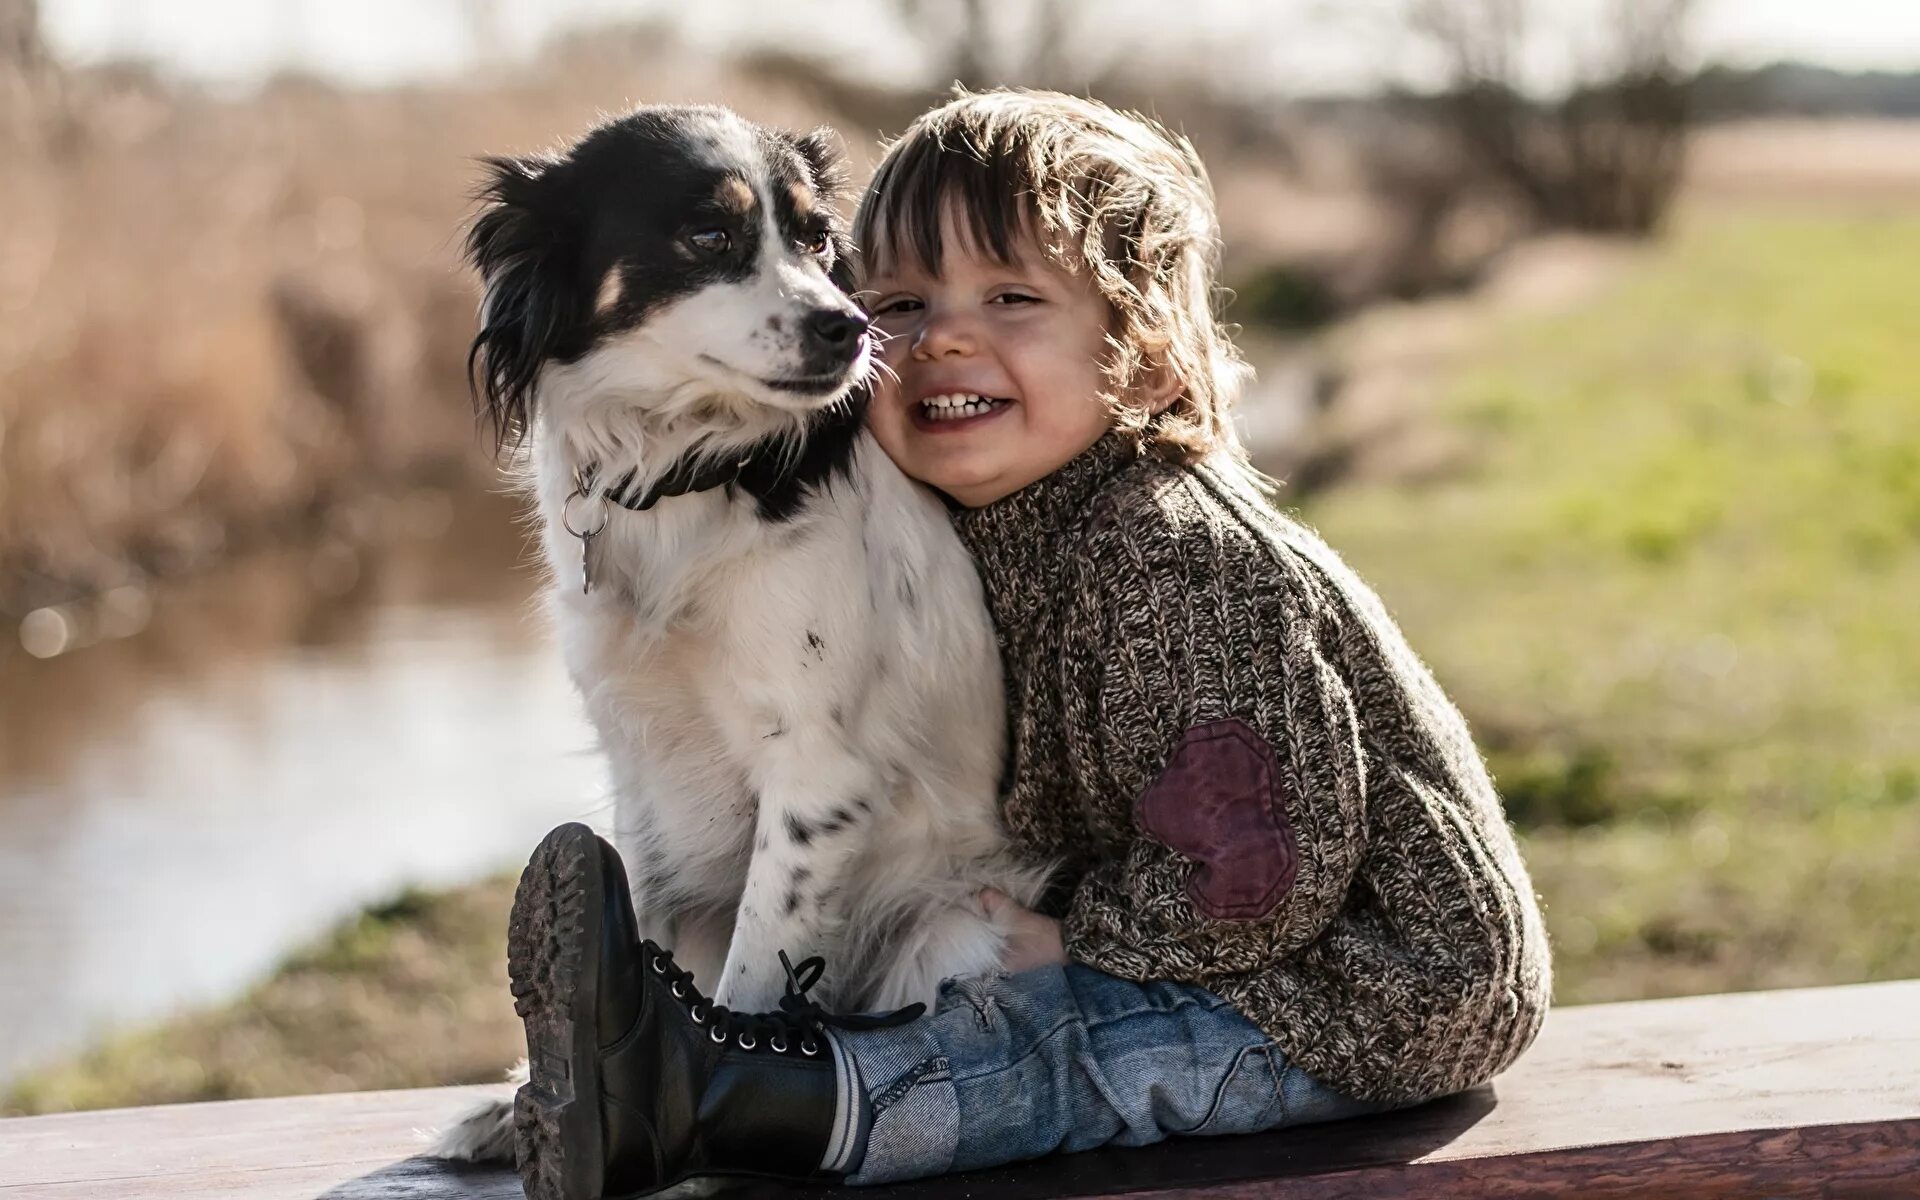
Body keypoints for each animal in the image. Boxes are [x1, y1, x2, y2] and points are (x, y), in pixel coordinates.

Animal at [432, 105, 1052, 1159]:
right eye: (708, 235)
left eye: (815, 238)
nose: (849, 327)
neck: (687, 475)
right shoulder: (641, 770)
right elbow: (638, 924)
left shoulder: (816, 780)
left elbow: (755, 978)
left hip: (952, 929)